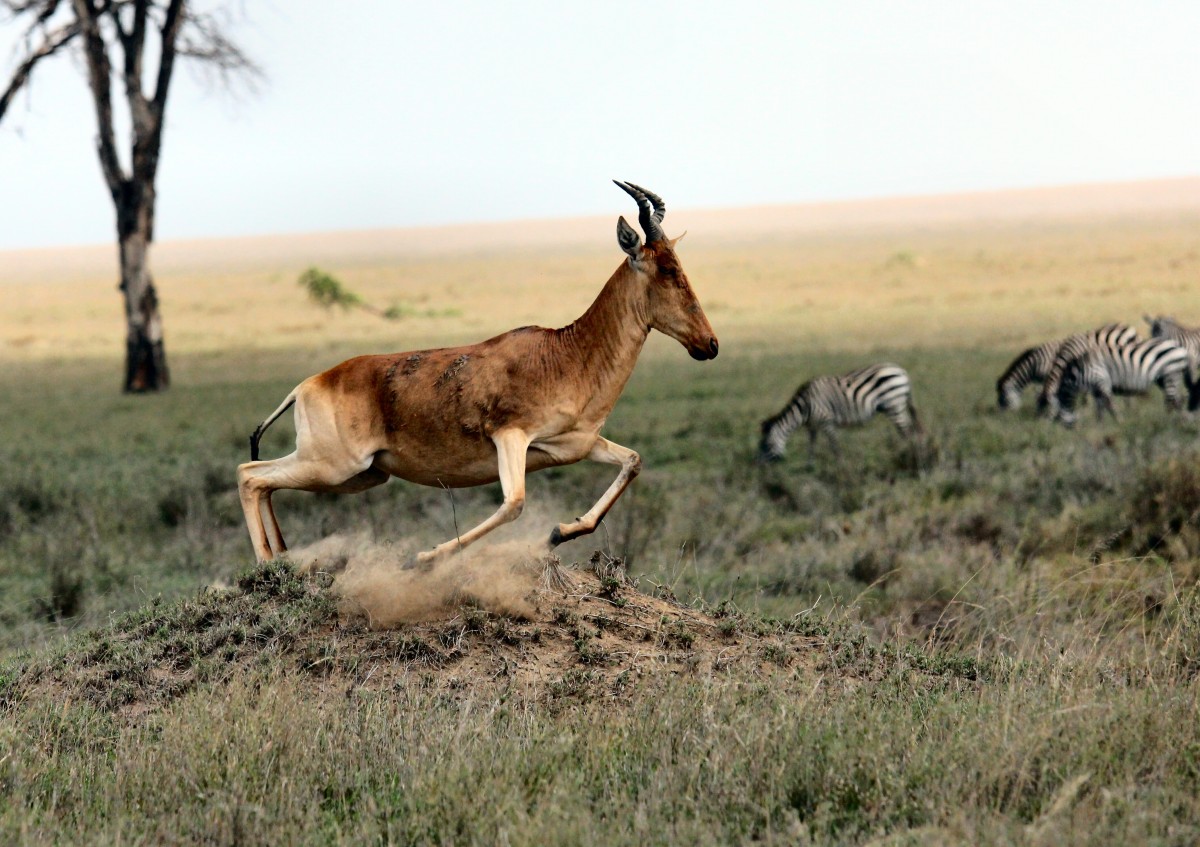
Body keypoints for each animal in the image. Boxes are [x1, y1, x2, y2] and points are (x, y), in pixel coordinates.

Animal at [238, 179, 715, 561]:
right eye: (667, 269)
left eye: (680, 264)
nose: (708, 345)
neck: (565, 353)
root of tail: (308, 385)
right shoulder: (510, 436)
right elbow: (514, 503)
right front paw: (424, 556)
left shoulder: (576, 445)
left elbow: (632, 462)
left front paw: (559, 532)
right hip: (334, 465)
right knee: (250, 475)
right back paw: (267, 566)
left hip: (362, 475)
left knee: (264, 482)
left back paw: (283, 559)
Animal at [753, 359, 921, 458]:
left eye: (766, 445)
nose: (761, 468)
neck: (804, 408)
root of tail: (901, 371)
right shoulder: (812, 426)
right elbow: (811, 446)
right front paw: (810, 466)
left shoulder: (826, 421)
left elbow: (835, 446)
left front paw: (841, 467)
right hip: (898, 406)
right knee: (909, 429)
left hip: (894, 405)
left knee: (906, 432)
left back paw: (906, 453)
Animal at [998, 319, 1137, 407]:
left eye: (1003, 400)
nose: (1003, 418)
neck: (1037, 363)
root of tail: (1129, 328)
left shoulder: (1050, 373)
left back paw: (1128, 404)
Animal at [1051, 335, 1190, 424]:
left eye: (1056, 417)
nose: (1070, 430)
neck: (1081, 372)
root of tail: (1180, 348)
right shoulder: (1096, 389)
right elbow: (1099, 408)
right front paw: (1099, 426)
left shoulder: (1101, 381)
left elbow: (1110, 405)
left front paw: (1119, 421)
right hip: (1164, 378)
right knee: (1177, 399)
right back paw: (1181, 420)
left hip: (1171, 374)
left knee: (1171, 400)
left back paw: (1166, 423)